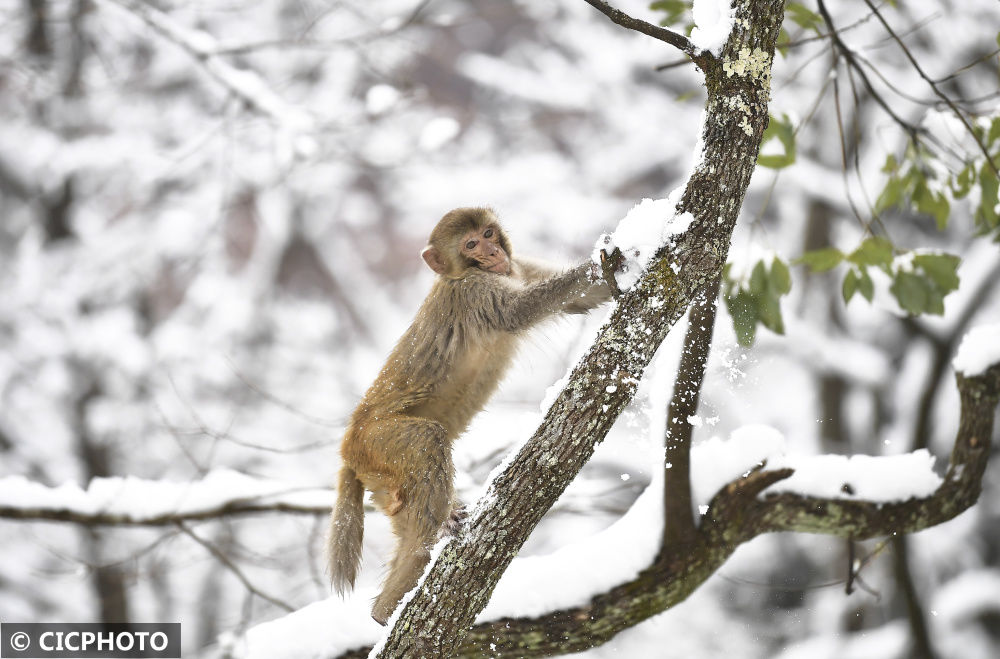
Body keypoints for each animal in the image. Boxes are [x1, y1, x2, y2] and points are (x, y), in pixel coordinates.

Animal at [328, 206, 608, 624]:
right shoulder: (473, 291)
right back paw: (398, 594)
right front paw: (617, 257)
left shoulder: (518, 267)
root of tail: (348, 446)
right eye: (471, 244)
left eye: (489, 233)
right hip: (378, 441)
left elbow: (582, 299)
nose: (493, 252)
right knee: (426, 441)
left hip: (380, 481)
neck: (461, 274)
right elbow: (518, 312)